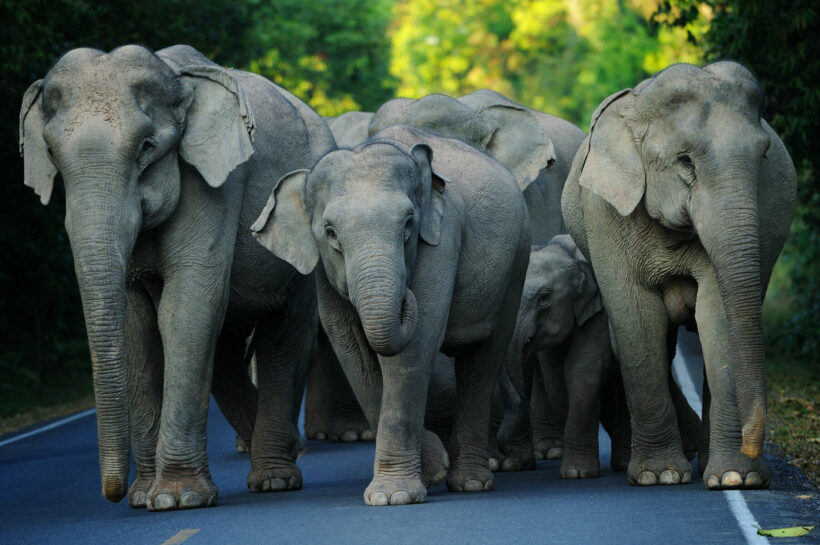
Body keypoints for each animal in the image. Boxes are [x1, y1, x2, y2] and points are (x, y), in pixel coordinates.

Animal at [19, 44, 334, 508]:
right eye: (53, 154)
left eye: (146, 147)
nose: (112, 494)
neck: (176, 80)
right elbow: (138, 326)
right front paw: (142, 499)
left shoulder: (214, 185)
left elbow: (184, 311)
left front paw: (177, 498)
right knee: (224, 350)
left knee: (285, 335)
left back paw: (276, 479)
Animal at [251, 124, 532, 506]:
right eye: (330, 233)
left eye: (409, 223)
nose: (404, 296)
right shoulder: (323, 272)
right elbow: (353, 352)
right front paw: (428, 472)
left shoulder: (442, 240)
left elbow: (414, 348)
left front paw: (395, 495)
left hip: (517, 262)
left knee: (482, 361)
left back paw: (472, 482)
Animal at [564, 60, 796, 488]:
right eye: (685, 161)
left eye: (763, 157)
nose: (753, 446)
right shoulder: (603, 211)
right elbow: (638, 318)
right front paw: (661, 475)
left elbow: (716, 315)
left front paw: (737, 478)